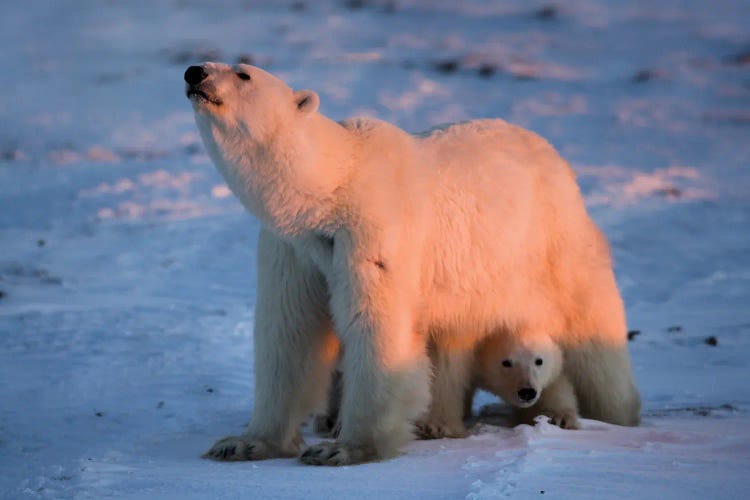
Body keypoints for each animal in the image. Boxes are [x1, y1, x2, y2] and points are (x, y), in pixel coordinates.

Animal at [185, 62, 644, 464]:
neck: (334, 188)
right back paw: (438, 421)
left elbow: (376, 326)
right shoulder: (295, 247)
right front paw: (244, 443)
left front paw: (345, 449)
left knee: (590, 326)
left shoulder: (375, 231)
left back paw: (613, 414)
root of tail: (552, 155)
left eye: (243, 73)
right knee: (454, 338)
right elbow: (290, 331)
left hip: (551, 240)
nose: (195, 72)